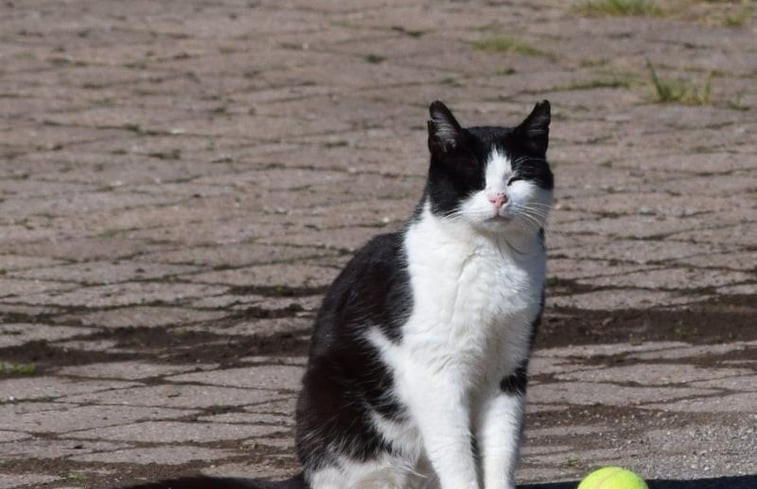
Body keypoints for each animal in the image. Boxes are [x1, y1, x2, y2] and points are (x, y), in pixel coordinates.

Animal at [119, 100, 556, 488]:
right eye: (475, 181)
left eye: (516, 178)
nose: (498, 198)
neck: (491, 257)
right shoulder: (436, 373)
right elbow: (457, 457)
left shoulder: (508, 369)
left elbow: (501, 452)